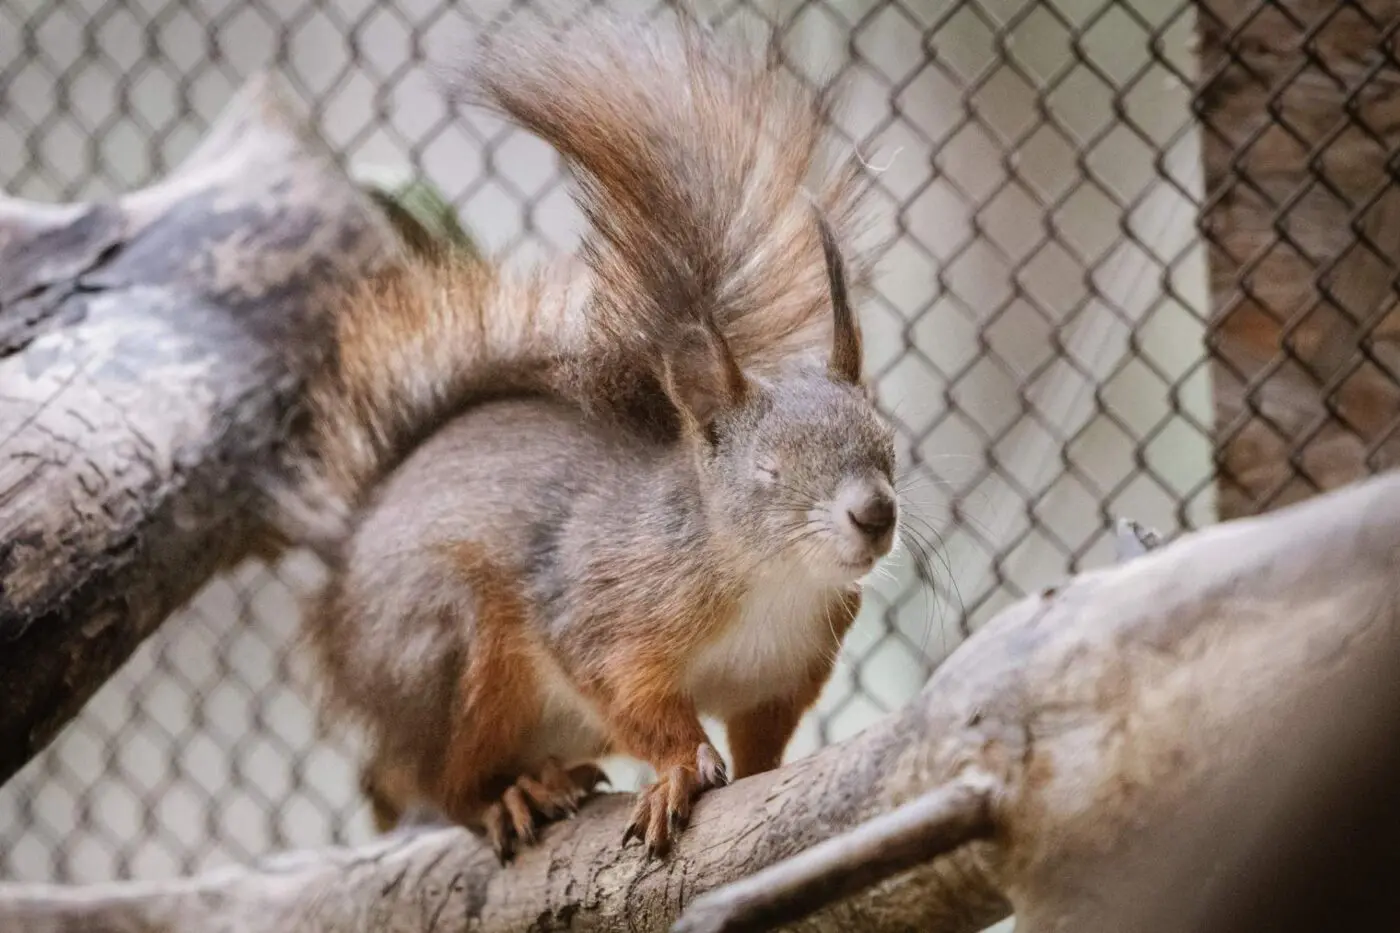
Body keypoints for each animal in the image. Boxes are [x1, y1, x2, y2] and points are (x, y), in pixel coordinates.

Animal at [268, 12, 901, 861]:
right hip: (448, 651)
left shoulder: (786, 674)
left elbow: (762, 740)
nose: (876, 513)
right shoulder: (601, 617)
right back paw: (515, 794)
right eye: (769, 470)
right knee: (448, 782)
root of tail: (337, 604)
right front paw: (678, 770)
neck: (772, 581)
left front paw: (760, 773)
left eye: (888, 446)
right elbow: (640, 706)